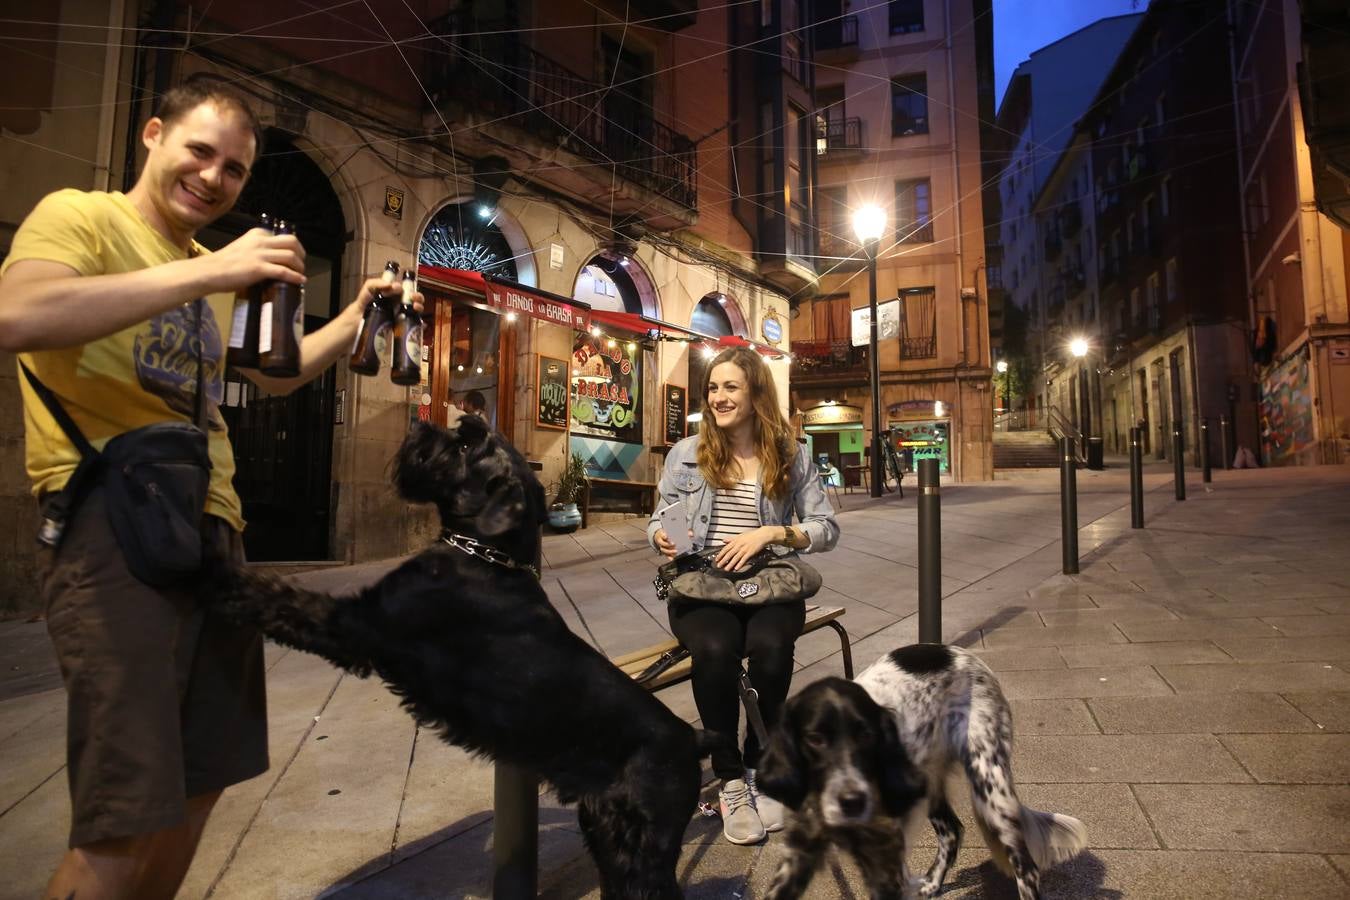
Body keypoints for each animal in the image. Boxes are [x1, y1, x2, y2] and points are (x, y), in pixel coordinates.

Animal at [206, 418, 712, 895]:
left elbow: (286, 601)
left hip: (644, 837)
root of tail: (694, 738)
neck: (485, 554)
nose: (419, 424)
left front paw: (215, 574)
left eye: (467, 443)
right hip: (606, 828)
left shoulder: (359, 624)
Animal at [761, 644, 1085, 900]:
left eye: (866, 735)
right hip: (930, 785)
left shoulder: (885, 857)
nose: (852, 801)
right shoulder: (800, 852)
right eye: (815, 739)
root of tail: (965, 655)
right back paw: (932, 883)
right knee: (952, 832)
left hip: (990, 787)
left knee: (1026, 868)